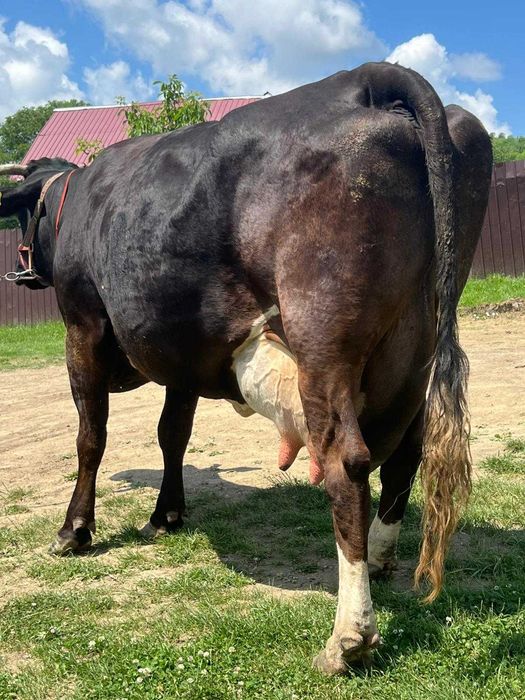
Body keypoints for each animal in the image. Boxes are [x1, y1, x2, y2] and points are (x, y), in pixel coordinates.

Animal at [0, 62, 492, 674]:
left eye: (26, 215)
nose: (21, 271)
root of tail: (366, 79)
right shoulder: (183, 352)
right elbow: (172, 434)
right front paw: (167, 514)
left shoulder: (83, 327)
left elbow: (91, 437)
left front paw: (74, 530)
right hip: (413, 347)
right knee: (407, 451)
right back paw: (380, 559)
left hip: (324, 338)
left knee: (347, 462)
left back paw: (348, 636)